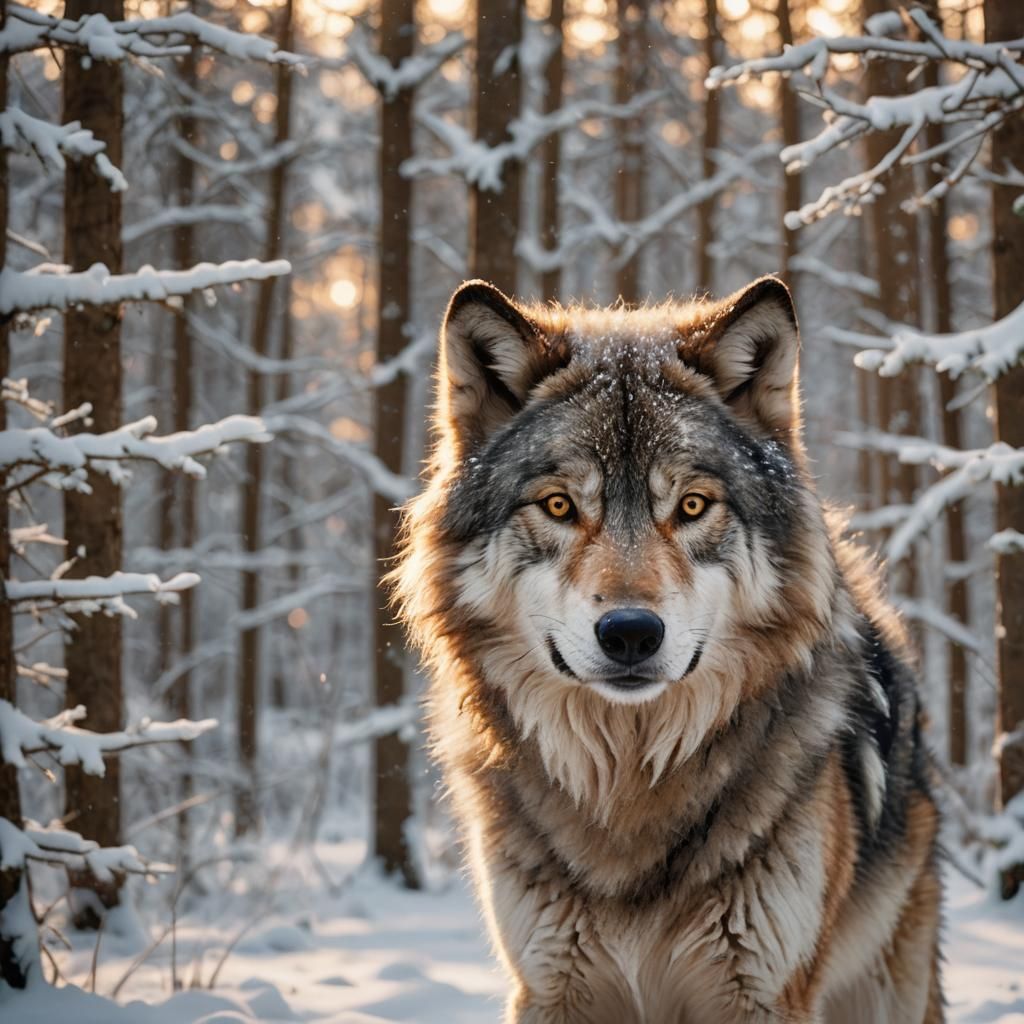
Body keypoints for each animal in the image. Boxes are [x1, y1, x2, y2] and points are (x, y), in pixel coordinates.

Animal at [393, 276, 944, 1023]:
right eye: (560, 505)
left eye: (691, 506)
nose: (630, 631)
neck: (630, 789)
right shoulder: (549, 987)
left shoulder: (764, 994)